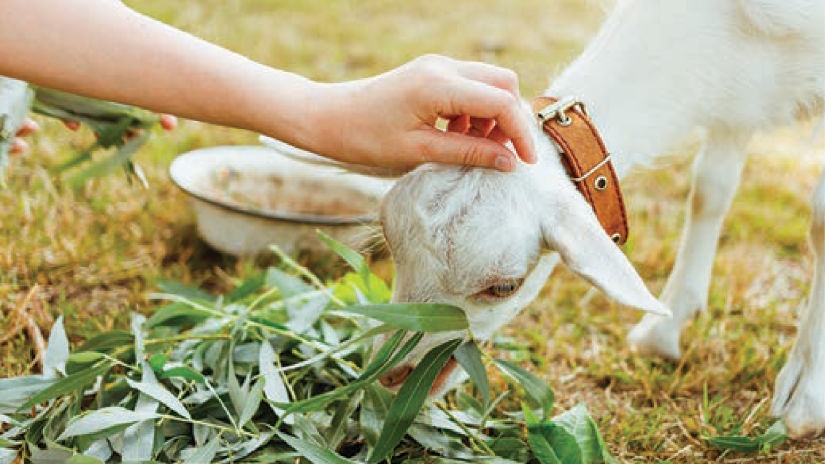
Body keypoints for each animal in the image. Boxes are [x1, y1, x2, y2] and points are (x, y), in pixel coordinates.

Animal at [268, 0, 824, 438]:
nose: (390, 376)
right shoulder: (740, 93)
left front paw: (803, 399)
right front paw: (664, 329)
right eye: (394, 253)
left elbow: (818, 218)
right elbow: (710, 189)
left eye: (504, 287)